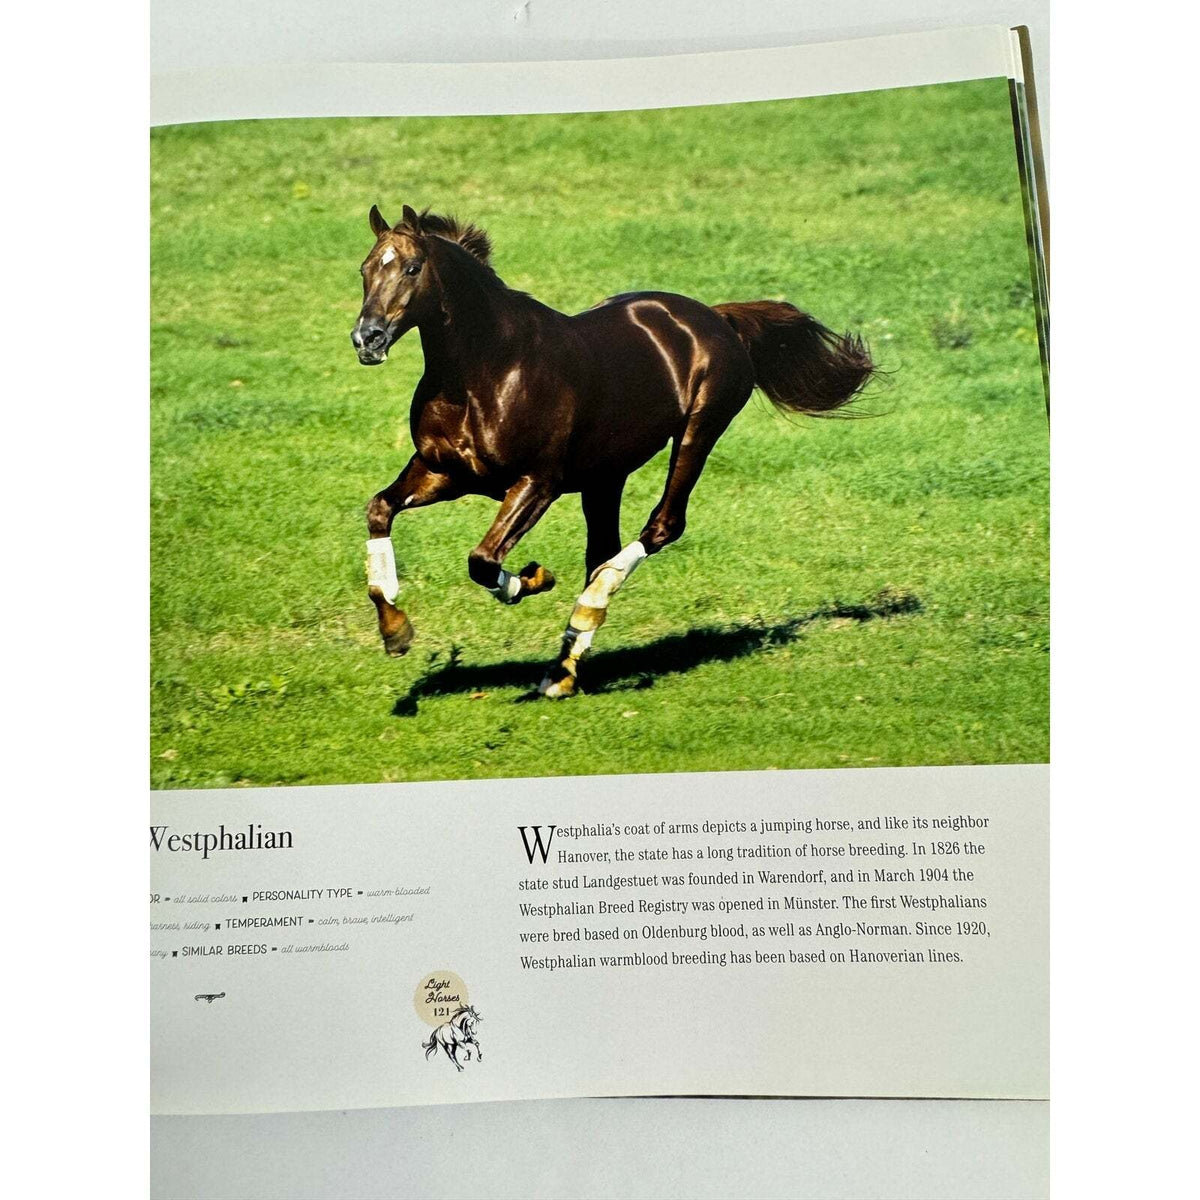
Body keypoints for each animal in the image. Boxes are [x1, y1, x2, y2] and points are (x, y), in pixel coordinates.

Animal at [353, 204, 875, 697]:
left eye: (412, 268)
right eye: (365, 269)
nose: (367, 339)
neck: (487, 369)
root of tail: (715, 317)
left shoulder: (537, 483)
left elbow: (483, 561)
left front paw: (535, 578)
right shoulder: (444, 472)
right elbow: (380, 509)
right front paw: (396, 631)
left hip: (698, 432)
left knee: (660, 528)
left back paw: (584, 620)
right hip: (606, 477)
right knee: (601, 551)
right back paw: (563, 671)